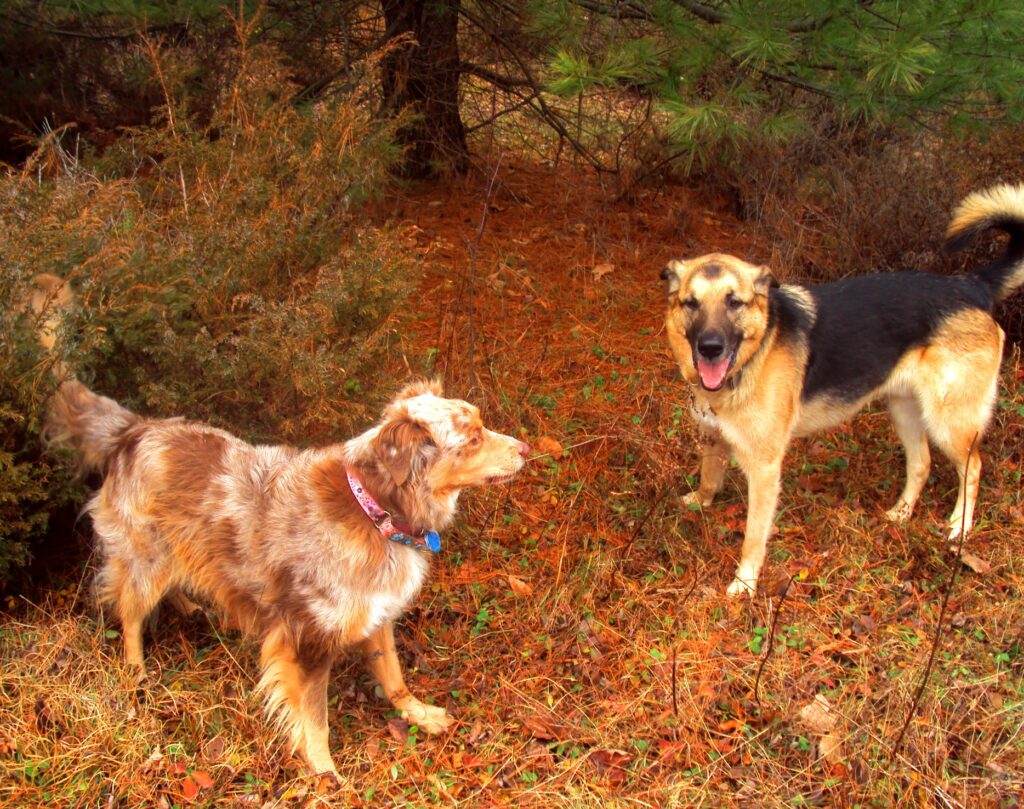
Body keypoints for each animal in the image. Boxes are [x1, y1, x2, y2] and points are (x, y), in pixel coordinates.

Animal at [663, 187, 1024, 598]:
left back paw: (959, 527)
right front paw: (700, 502)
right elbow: (709, 477)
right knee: (921, 463)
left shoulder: (764, 468)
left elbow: (754, 535)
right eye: (690, 303)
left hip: (949, 421)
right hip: (904, 412)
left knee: (973, 467)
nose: (710, 347)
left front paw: (745, 582)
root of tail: (968, 285)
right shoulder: (713, 437)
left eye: (734, 302)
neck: (752, 358)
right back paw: (902, 513)